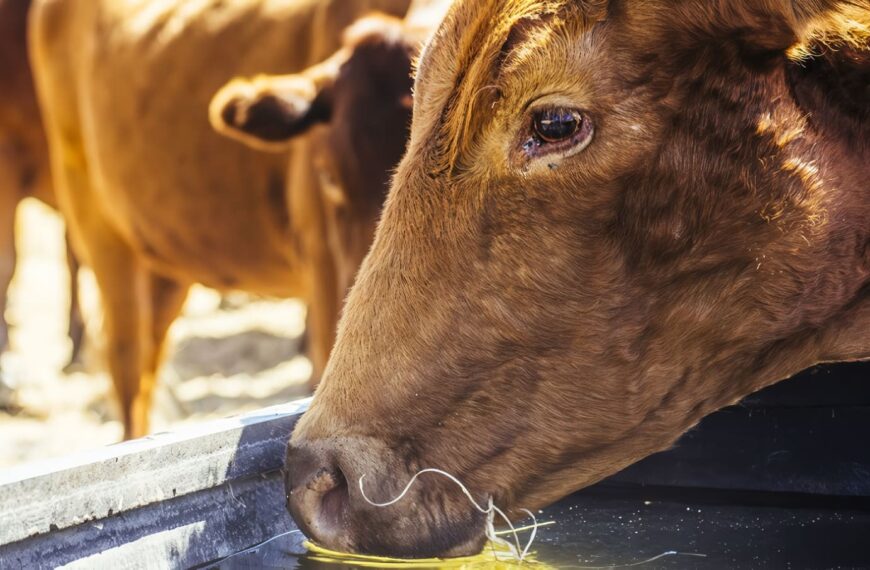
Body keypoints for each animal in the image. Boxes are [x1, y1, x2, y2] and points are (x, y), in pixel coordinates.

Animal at [29, 0, 414, 438]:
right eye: (328, 176)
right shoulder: (322, 263)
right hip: (97, 223)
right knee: (127, 362)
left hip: (164, 257)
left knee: (149, 357)